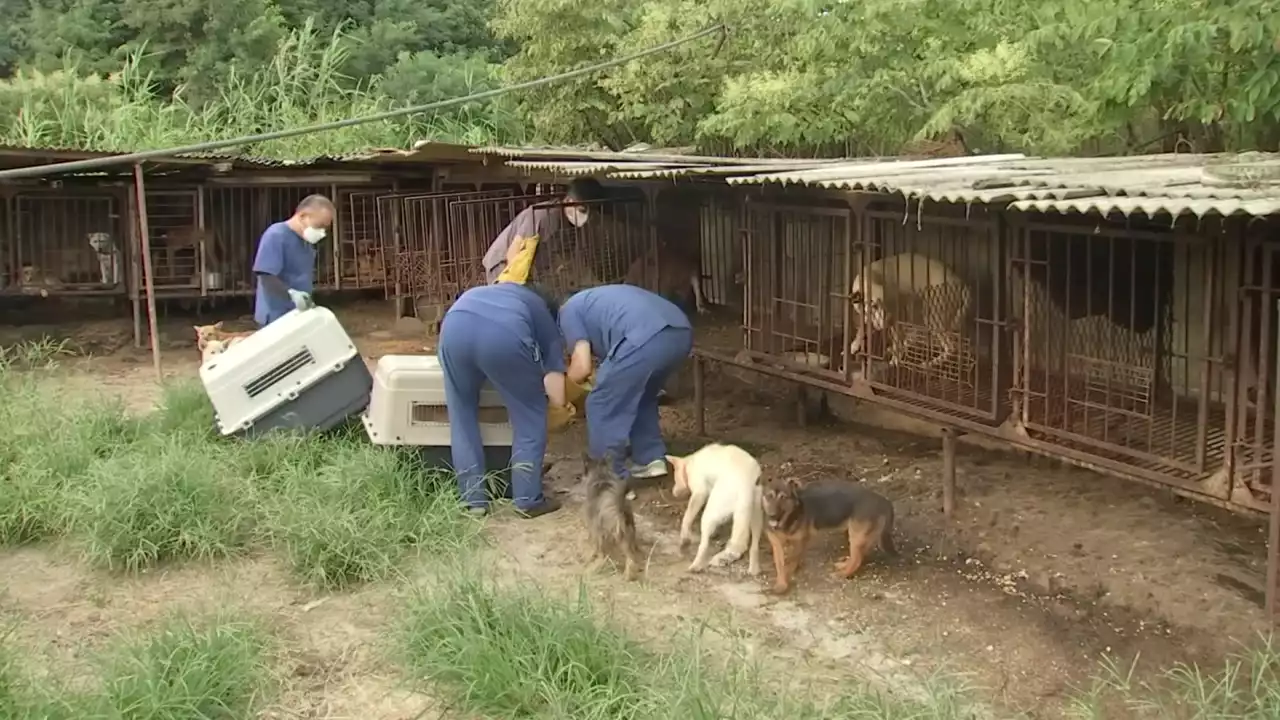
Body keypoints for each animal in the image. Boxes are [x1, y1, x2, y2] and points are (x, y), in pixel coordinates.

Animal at [757, 474, 901, 591]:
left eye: (783, 497)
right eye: (769, 496)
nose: (772, 515)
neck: (791, 515)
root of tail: (883, 500)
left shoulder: (801, 541)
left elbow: (791, 560)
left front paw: (788, 574)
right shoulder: (777, 545)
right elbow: (780, 565)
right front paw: (781, 583)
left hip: (856, 536)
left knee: (857, 559)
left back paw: (842, 574)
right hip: (858, 535)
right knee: (859, 555)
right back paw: (844, 565)